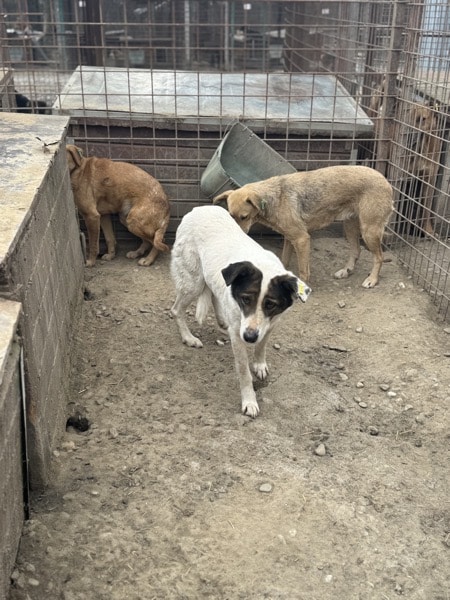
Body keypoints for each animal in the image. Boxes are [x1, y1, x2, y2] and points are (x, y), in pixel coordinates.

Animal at [170, 205, 311, 417]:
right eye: (246, 299)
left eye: (271, 304)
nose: (250, 337)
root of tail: (198, 208)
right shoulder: (239, 336)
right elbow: (244, 372)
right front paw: (249, 401)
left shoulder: (270, 325)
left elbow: (262, 346)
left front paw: (259, 364)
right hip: (192, 282)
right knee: (177, 309)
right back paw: (189, 338)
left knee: (215, 293)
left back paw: (222, 321)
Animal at [213, 165, 393, 289]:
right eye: (231, 216)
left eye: (244, 217)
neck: (274, 199)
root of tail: (385, 180)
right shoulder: (289, 238)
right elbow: (284, 260)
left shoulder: (301, 239)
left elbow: (303, 270)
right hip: (350, 226)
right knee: (356, 250)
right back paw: (346, 271)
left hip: (369, 230)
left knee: (379, 257)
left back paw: (372, 280)